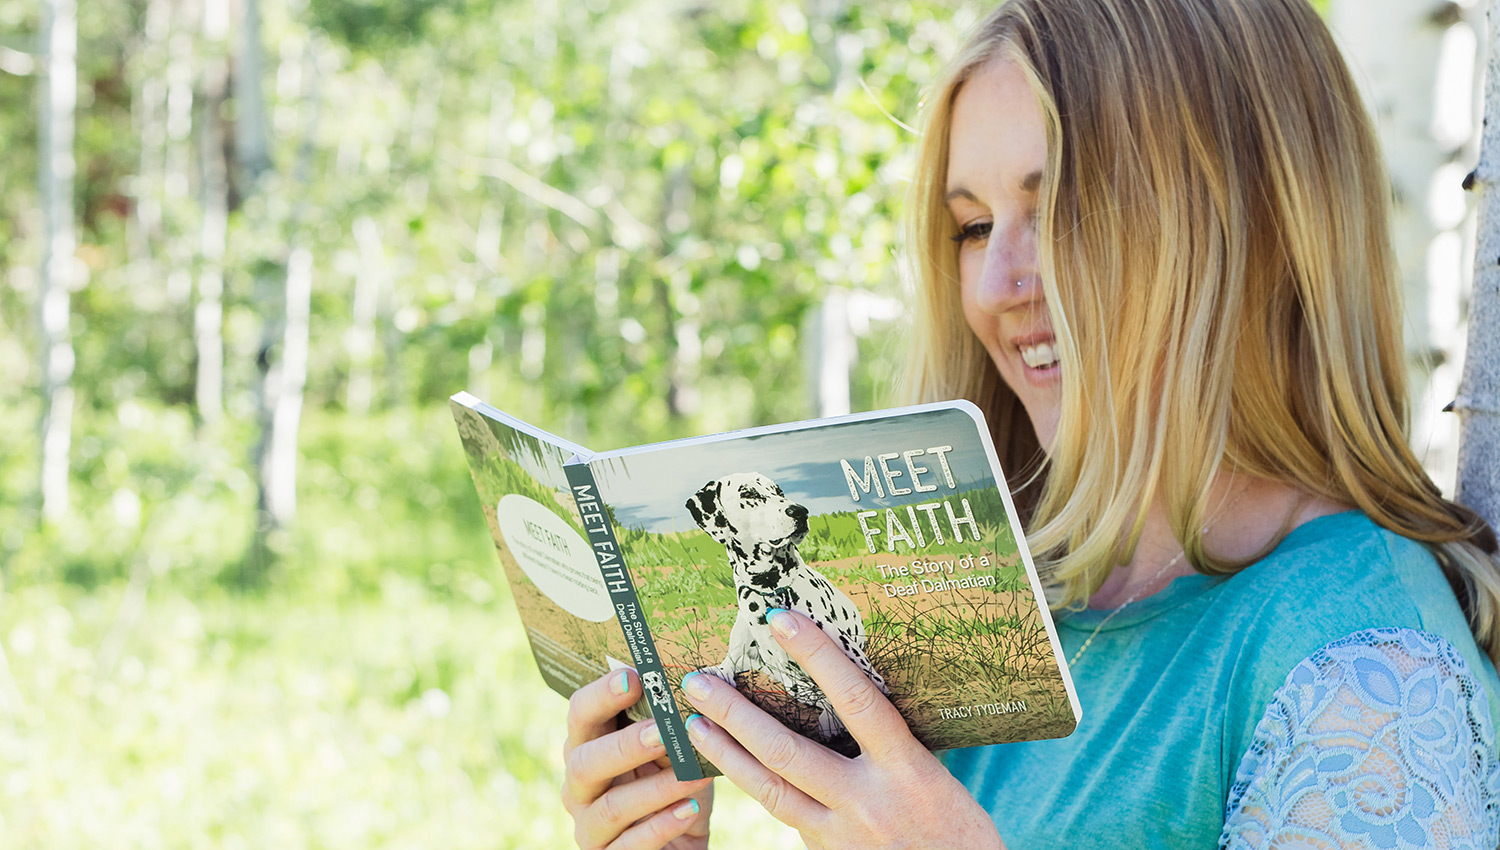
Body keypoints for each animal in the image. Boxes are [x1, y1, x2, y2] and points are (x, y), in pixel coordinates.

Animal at [687, 473, 888, 737]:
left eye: (779, 491)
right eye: (748, 493)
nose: (800, 511)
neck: (773, 590)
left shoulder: (865, 672)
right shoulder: (792, 679)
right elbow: (821, 696)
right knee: (730, 663)